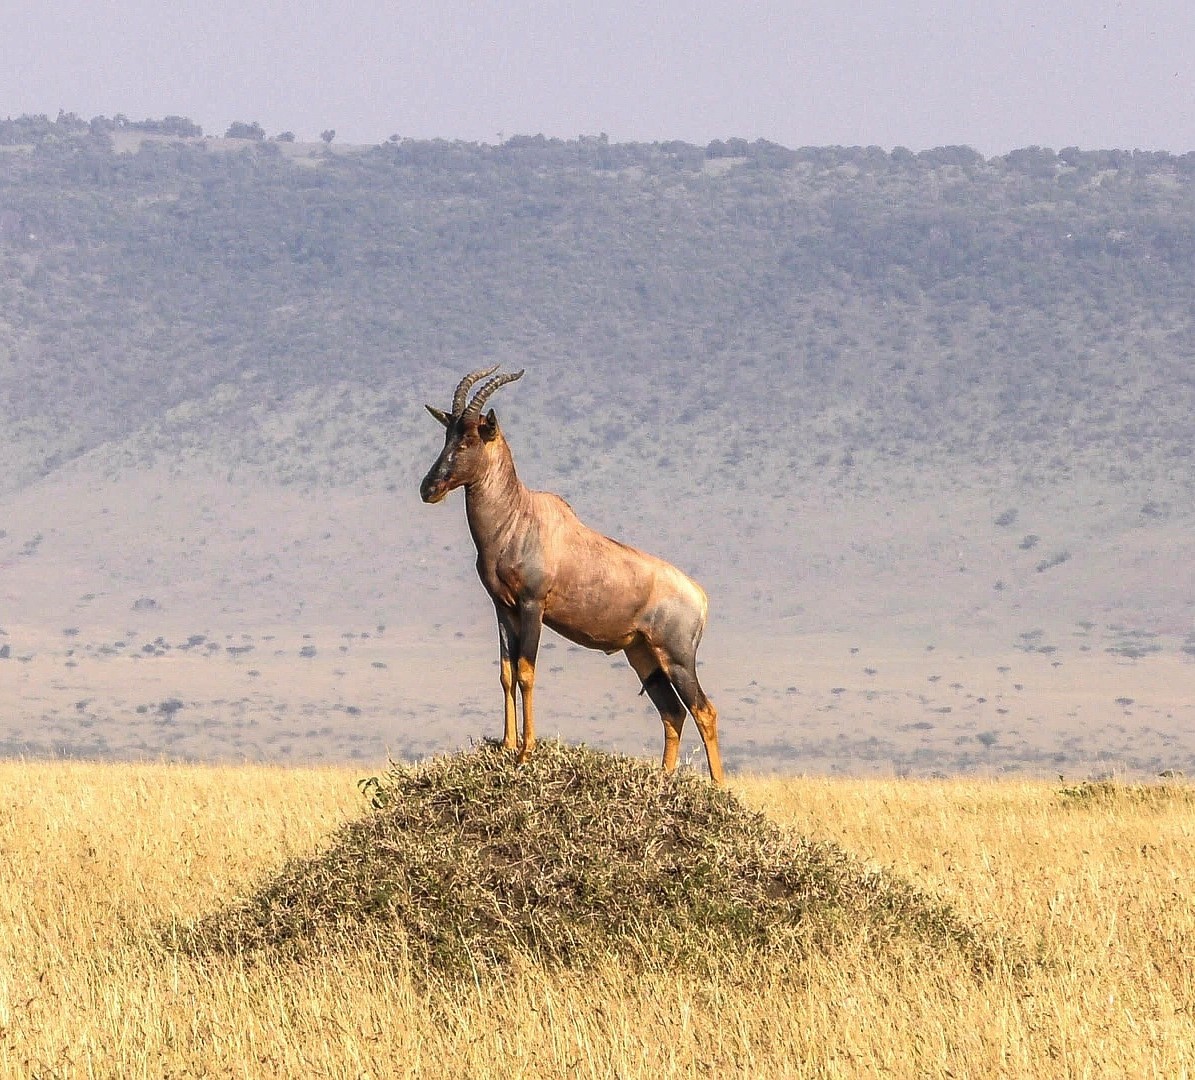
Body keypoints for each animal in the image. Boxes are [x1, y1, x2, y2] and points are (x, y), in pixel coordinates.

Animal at [420, 365, 725, 783]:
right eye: (446, 436)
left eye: (469, 440)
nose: (428, 488)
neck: (519, 516)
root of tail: (700, 596)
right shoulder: (502, 607)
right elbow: (506, 673)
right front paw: (507, 746)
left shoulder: (533, 605)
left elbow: (526, 671)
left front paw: (526, 752)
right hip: (642, 655)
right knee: (673, 711)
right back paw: (663, 780)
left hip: (677, 657)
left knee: (703, 710)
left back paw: (720, 788)